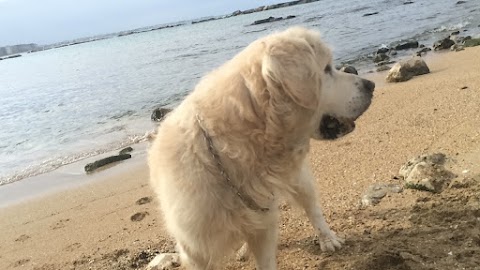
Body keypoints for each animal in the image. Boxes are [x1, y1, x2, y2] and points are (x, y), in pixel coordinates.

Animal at [148, 25, 374, 270]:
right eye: (326, 69)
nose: (370, 85)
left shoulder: (264, 228)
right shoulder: (195, 249)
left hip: (298, 180)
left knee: (312, 206)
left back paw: (328, 238)